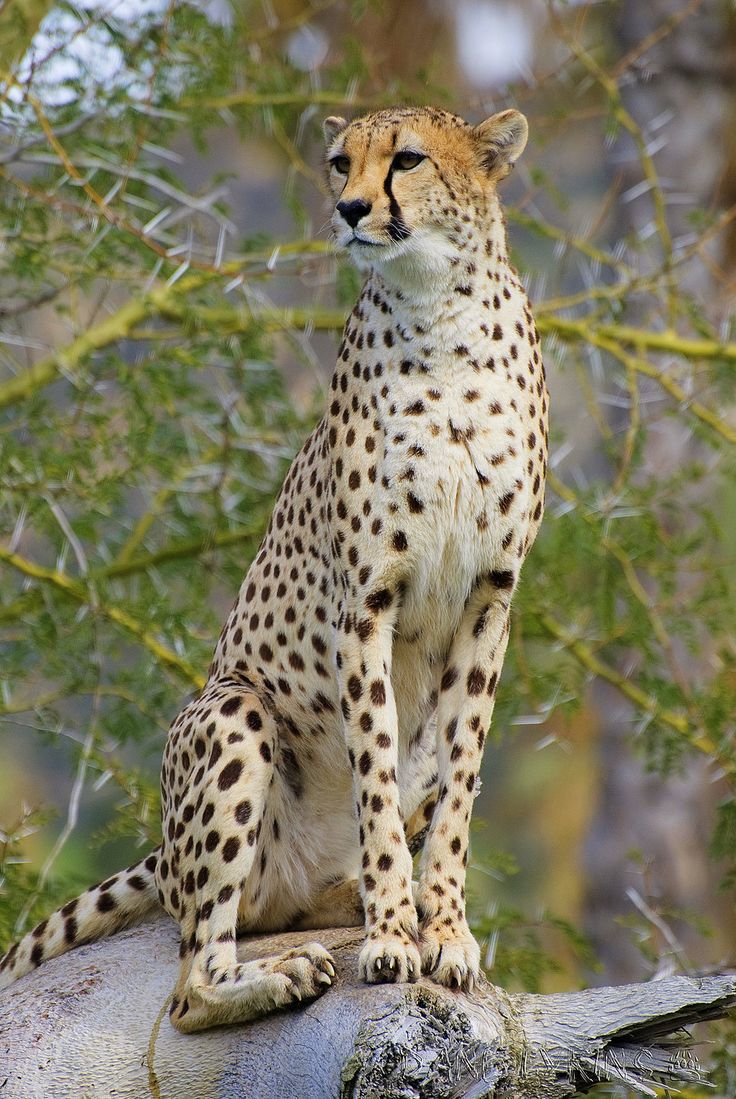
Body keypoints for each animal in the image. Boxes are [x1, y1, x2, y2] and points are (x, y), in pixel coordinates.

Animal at [0, 103, 547, 1028]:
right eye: (338, 162)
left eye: (406, 160)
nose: (352, 209)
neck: (439, 308)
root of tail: (163, 854)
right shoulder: (365, 599)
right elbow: (374, 772)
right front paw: (394, 937)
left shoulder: (490, 598)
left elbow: (460, 784)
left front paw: (445, 929)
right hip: (233, 713)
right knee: (191, 978)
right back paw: (285, 969)